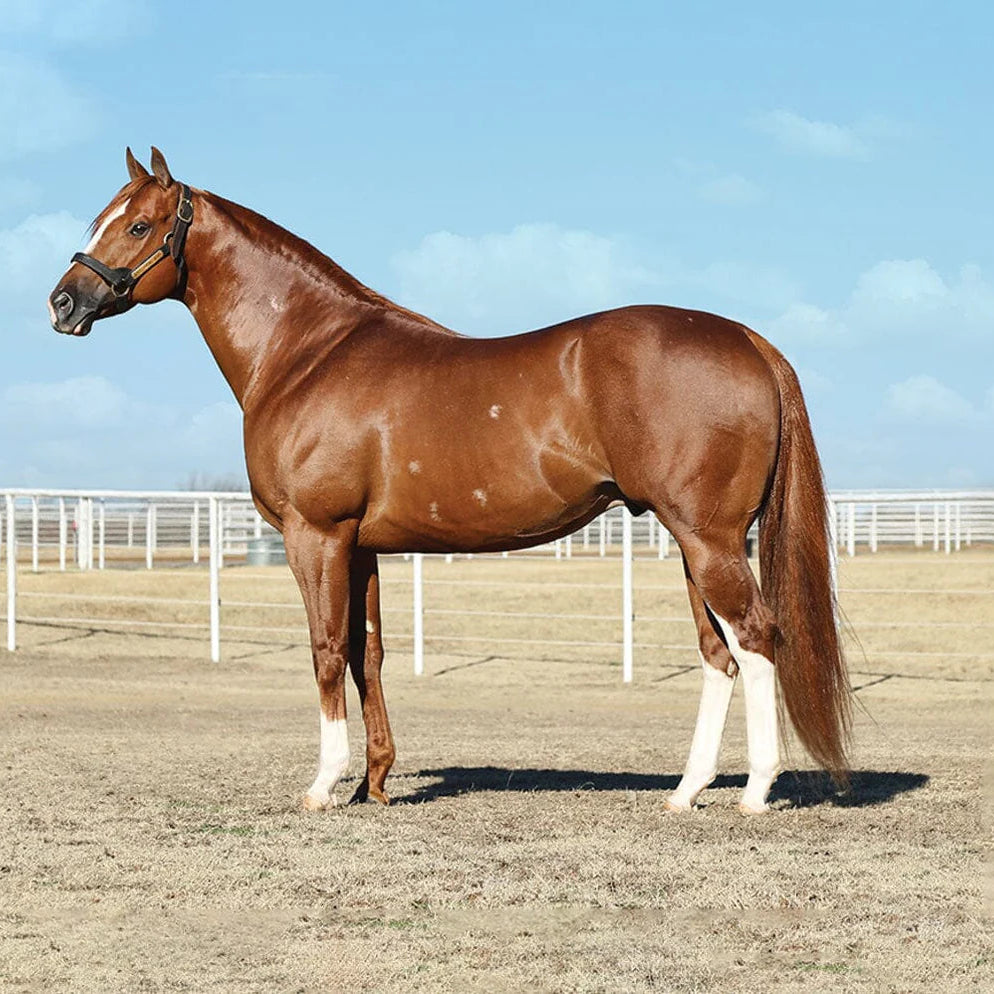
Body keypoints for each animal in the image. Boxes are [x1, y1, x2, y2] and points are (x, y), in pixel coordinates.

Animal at [48, 147, 851, 814]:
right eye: (101, 219)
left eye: (140, 224)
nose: (64, 303)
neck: (306, 350)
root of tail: (747, 339)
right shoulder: (361, 546)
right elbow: (366, 653)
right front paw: (374, 783)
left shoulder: (317, 536)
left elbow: (324, 649)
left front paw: (323, 785)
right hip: (697, 543)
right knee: (719, 655)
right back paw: (685, 793)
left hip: (707, 540)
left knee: (756, 638)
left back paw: (754, 793)